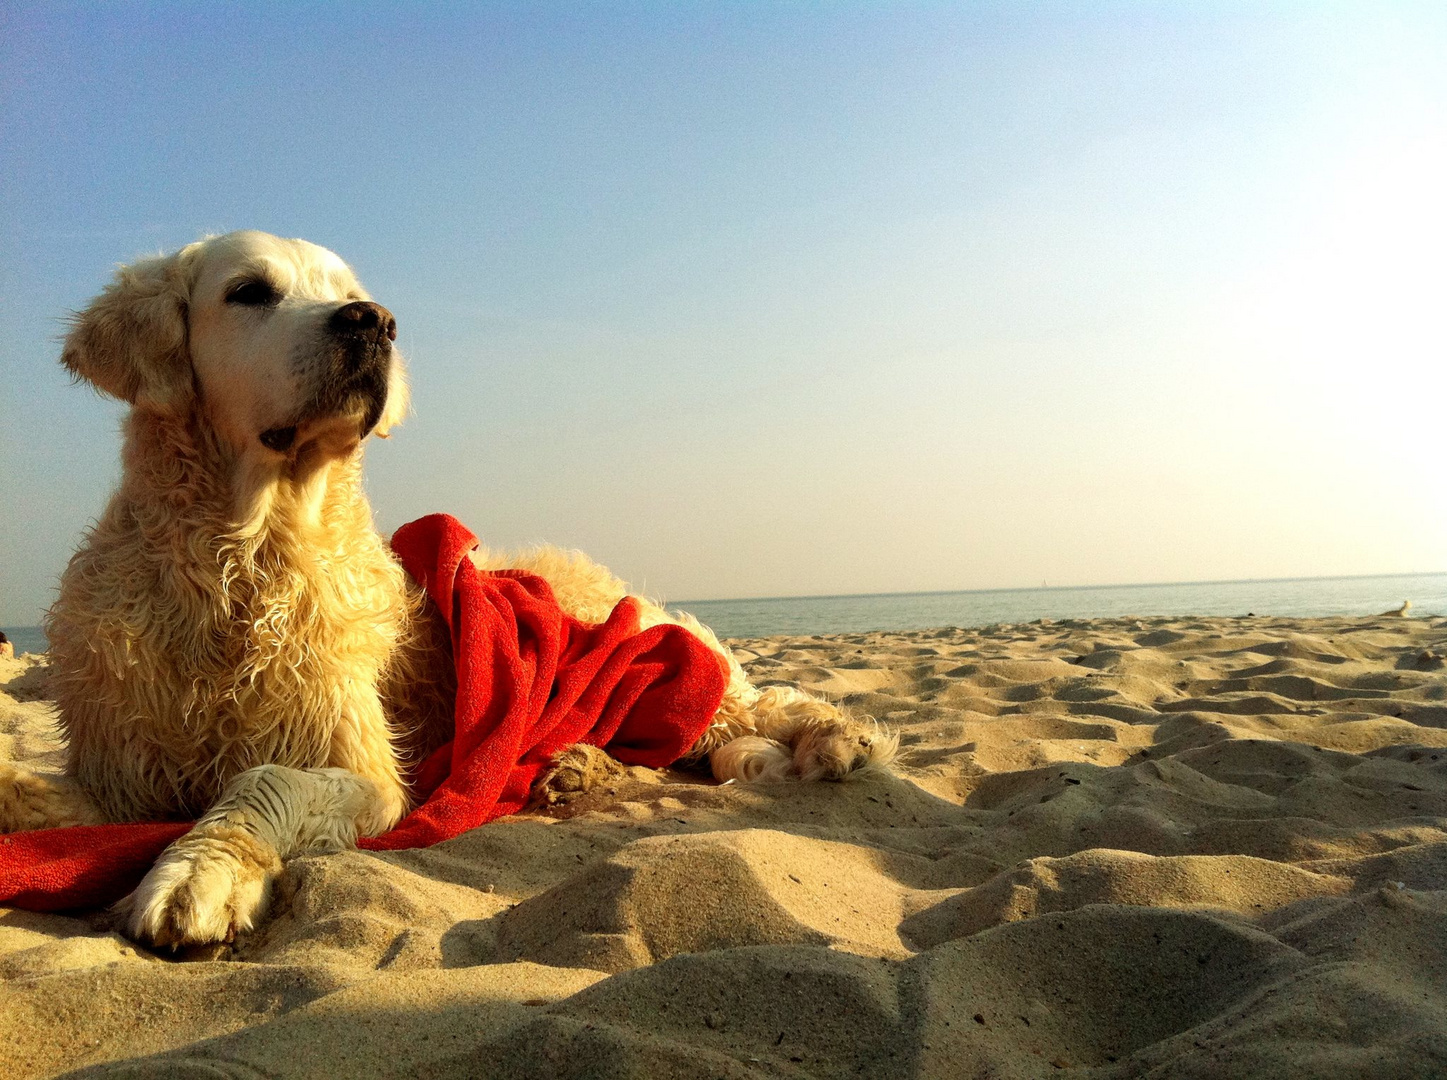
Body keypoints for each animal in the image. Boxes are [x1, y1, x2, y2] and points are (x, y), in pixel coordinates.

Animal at [0, 233, 891, 943]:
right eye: (249, 291)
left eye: (347, 288)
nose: (371, 320)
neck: (243, 557)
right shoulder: (122, 772)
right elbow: (42, 797)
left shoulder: (368, 771)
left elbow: (265, 780)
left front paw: (200, 873)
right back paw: (574, 766)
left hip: (665, 665)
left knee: (771, 702)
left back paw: (840, 740)